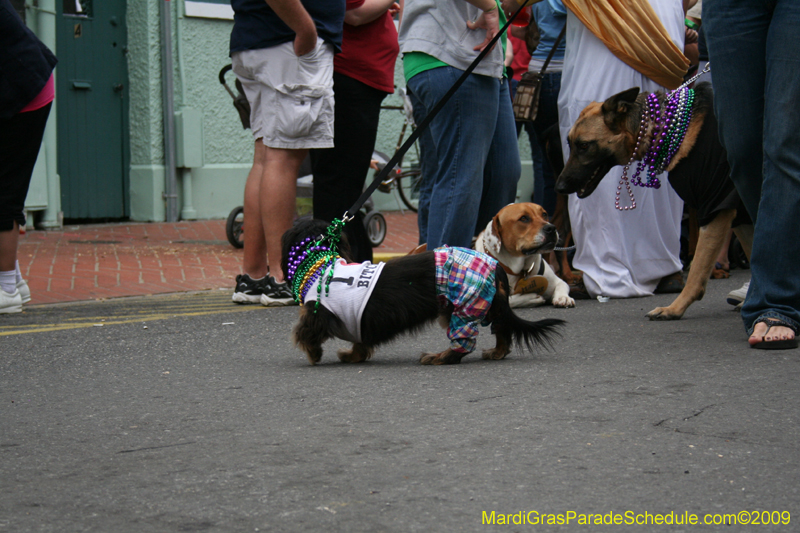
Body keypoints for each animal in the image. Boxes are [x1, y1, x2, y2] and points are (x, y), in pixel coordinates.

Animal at [282, 218, 564, 364]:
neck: (319, 264)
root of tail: (496, 266)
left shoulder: (318, 313)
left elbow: (305, 332)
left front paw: (314, 354)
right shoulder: (360, 322)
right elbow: (360, 343)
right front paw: (352, 356)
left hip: (462, 307)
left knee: (462, 347)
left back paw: (438, 357)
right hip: (485, 306)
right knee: (503, 332)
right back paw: (496, 352)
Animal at [552, 81, 752, 318]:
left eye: (583, 145)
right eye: (569, 143)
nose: (559, 187)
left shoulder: (716, 208)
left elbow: (696, 271)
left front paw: (674, 309)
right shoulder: (736, 211)